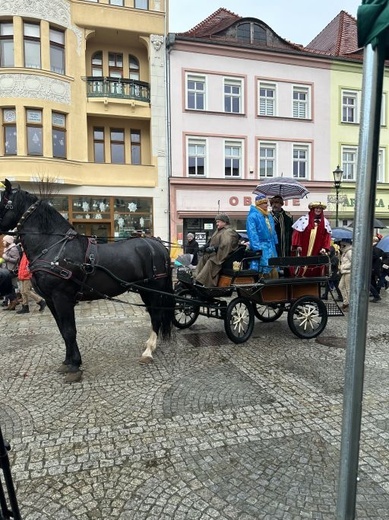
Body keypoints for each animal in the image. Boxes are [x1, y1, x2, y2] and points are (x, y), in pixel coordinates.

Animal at [0, 180, 174, 382]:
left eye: (1, 201)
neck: (53, 246)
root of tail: (157, 244)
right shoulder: (51, 300)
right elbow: (62, 330)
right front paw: (67, 361)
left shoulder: (62, 298)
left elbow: (69, 331)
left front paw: (75, 366)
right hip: (145, 290)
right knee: (154, 314)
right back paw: (150, 344)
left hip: (153, 289)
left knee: (157, 315)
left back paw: (148, 351)